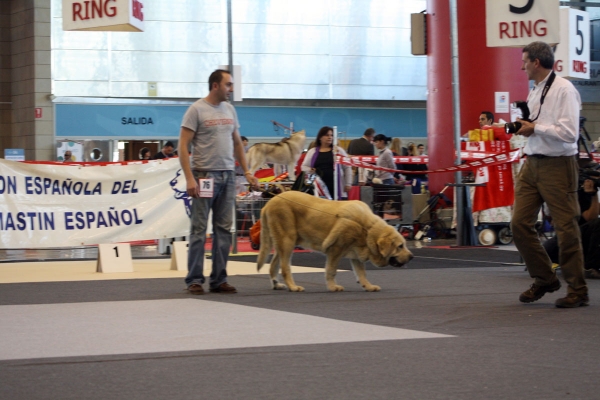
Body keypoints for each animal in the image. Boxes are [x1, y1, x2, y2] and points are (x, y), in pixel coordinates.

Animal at [258, 191, 412, 290]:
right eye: (400, 246)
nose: (411, 256)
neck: (367, 229)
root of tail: (268, 203)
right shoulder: (335, 250)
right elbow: (331, 270)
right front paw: (333, 287)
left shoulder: (356, 254)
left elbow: (362, 273)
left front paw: (368, 286)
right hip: (287, 241)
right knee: (285, 268)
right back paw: (293, 287)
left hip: (283, 243)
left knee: (274, 265)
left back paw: (277, 285)